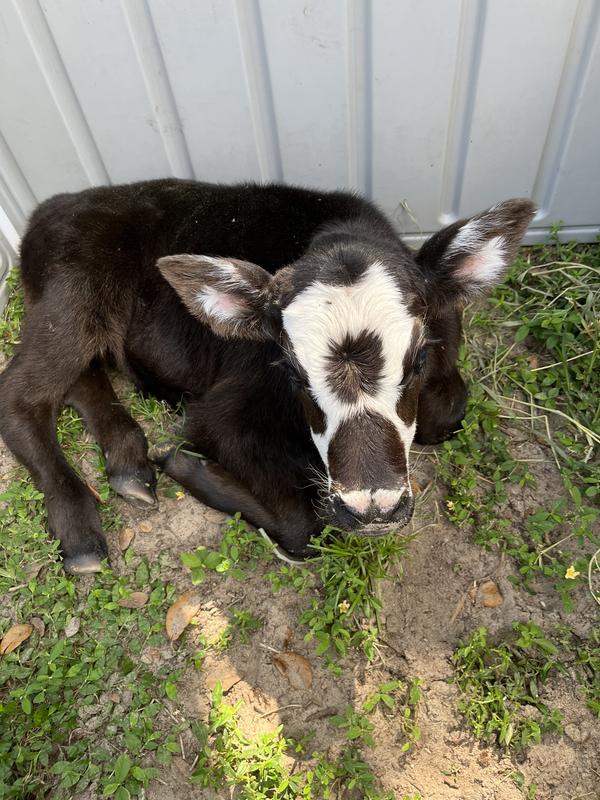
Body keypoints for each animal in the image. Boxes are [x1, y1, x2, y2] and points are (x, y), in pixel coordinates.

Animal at [0, 180, 535, 573]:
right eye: (293, 374)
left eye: (419, 359)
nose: (373, 511)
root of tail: (50, 207)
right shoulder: (222, 415)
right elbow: (303, 525)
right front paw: (189, 466)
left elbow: (447, 411)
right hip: (73, 298)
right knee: (21, 393)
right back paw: (80, 529)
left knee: (80, 376)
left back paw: (128, 464)